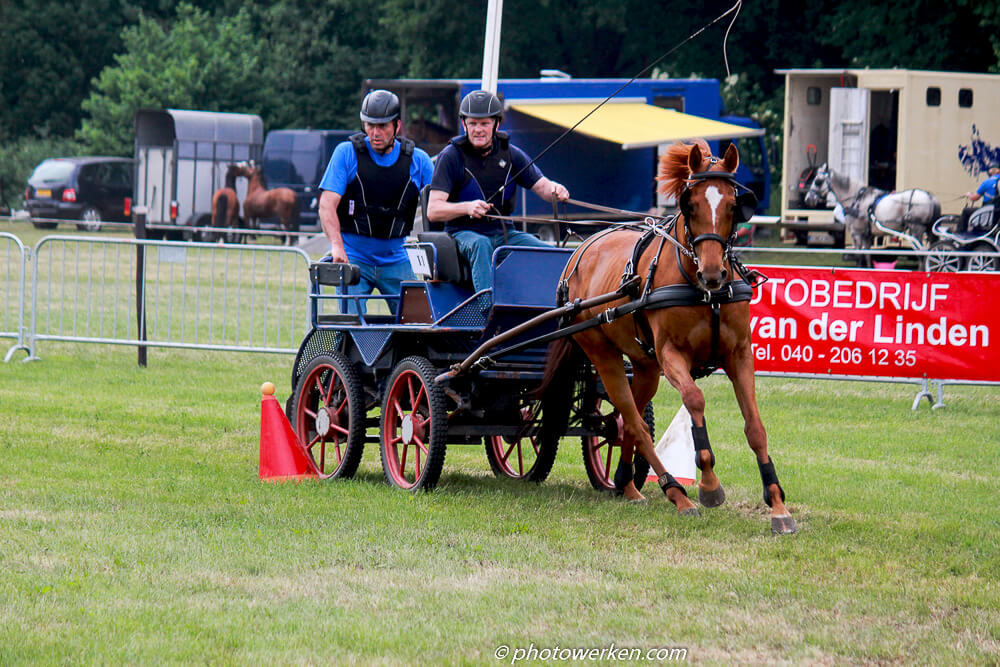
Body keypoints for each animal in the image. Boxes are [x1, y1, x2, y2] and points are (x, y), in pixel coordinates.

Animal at [544, 142, 792, 536]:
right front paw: (708, 485)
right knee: (632, 418)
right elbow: (694, 399)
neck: (704, 293)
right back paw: (676, 493)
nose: (713, 274)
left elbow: (755, 426)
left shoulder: (739, 354)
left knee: (627, 419)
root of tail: (580, 250)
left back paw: (627, 485)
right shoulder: (672, 355)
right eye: (690, 205)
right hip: (604, 355)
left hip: (645, 366)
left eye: (733, 205)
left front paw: (778, 504)